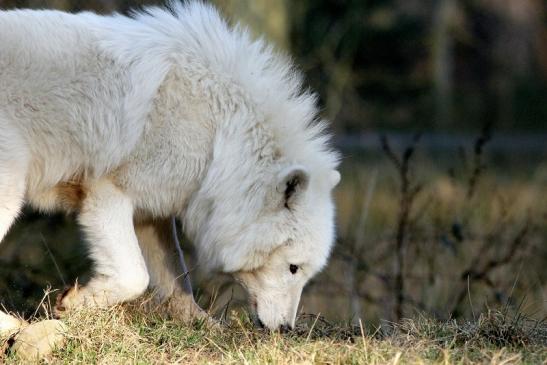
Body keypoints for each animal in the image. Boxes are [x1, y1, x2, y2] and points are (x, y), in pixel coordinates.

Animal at [0, 0, 340, 330]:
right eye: (293, 268)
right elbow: (135, 276)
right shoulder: (107, 192)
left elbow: (177, 280)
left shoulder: (152, 211)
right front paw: (73, 304)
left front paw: (205, 328)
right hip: (11, 187)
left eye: (303, 271)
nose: (286, 329)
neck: (219, 133)